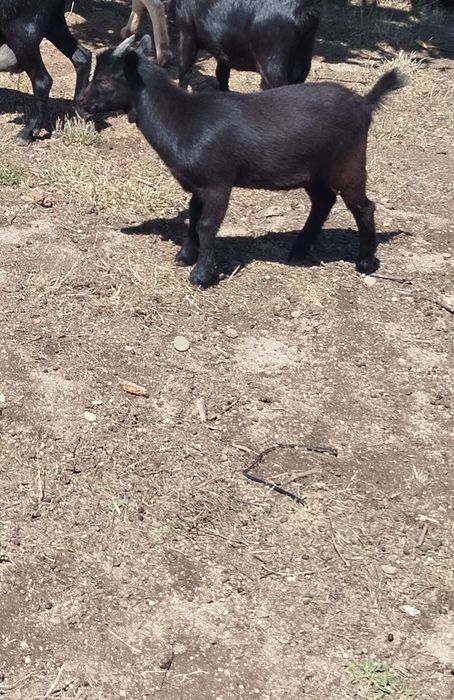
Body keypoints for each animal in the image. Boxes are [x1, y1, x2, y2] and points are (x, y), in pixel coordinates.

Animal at [0, 0, 91, 143]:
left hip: (22, 31)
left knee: (42, 81)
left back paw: (28, 131)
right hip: (54, 22)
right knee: (82, 56)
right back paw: (81, 109)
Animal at [77, 36, 407, 288]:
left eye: (104, 79)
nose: (81, 101)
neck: (182, 118)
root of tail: (364, 103)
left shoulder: (217, 183)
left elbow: (207, 225)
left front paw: (201, 276)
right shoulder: (198, 184)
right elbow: (193, 218)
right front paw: (185, 257)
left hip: (348, 164)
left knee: (363, 207)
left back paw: (365, 263)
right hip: (312, 171)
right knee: (324, 200)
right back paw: (299, 250)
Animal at [175, 0, 321, 90]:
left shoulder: (187, 31)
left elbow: (184, 72)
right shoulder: (224, 51)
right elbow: (221, 75)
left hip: (273, 65)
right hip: (303, 60)